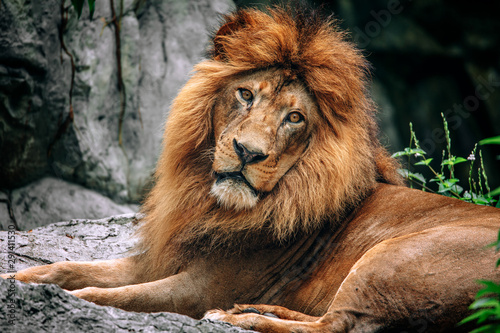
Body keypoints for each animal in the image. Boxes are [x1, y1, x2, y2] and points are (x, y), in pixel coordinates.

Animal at [3, 5, 500, 332]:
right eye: (245, 94)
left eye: (295, 117)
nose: (247, 152)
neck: (211, 204)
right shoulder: (160, 259)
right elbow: (66, 267)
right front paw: (16, 280)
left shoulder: (199, 288)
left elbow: (109, 295)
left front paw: (74, 301)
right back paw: (254, 311)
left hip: (395, 256)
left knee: (339, 326)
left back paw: (235, 317)